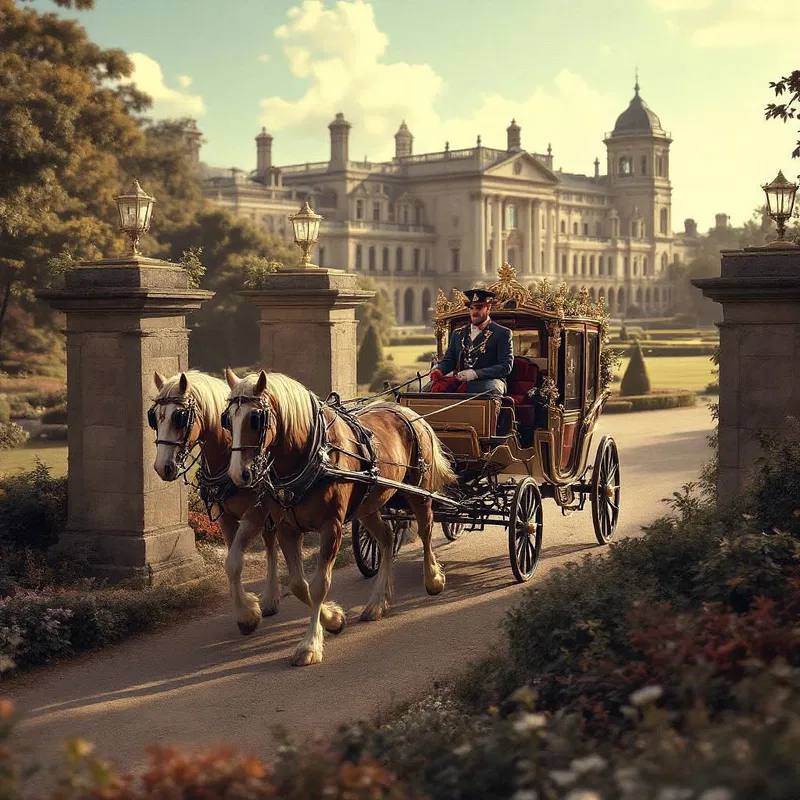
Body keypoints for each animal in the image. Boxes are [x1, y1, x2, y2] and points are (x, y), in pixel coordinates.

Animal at [150, 372, 282, 620]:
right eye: (154, 418)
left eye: (179, 417)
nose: (162, 467)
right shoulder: (224, 516)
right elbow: (232, 559)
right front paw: (241, 602)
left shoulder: (255, 513)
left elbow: (234, 562)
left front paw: (247, 613)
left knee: (271, 543)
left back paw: (271, 597)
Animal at [223, 370, 456, 668]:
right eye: (227, 419)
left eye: (255, 418)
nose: (238, 474)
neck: (311, 455)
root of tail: (409, 412)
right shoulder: (287, 528)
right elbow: (299, 586)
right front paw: (333, 619)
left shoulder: (331, 526)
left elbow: (320, 586)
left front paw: (310, 645)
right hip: (368, 507)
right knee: (386, 539)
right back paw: (377, 603)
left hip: (419, 493)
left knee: (426, 532)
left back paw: (433, 580)